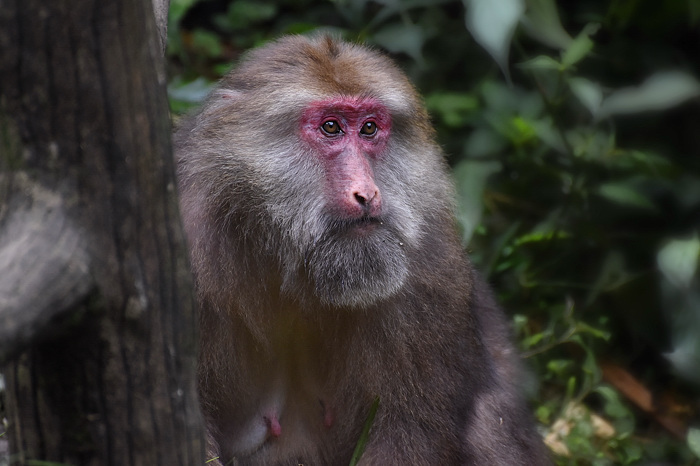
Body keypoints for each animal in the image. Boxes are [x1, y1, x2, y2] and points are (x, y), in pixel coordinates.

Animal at [172, 34, 548, 464]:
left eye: (369, 128)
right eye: (331, 127)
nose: (367, 194)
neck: (283, 258)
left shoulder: (427, 275)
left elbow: (409, 430)